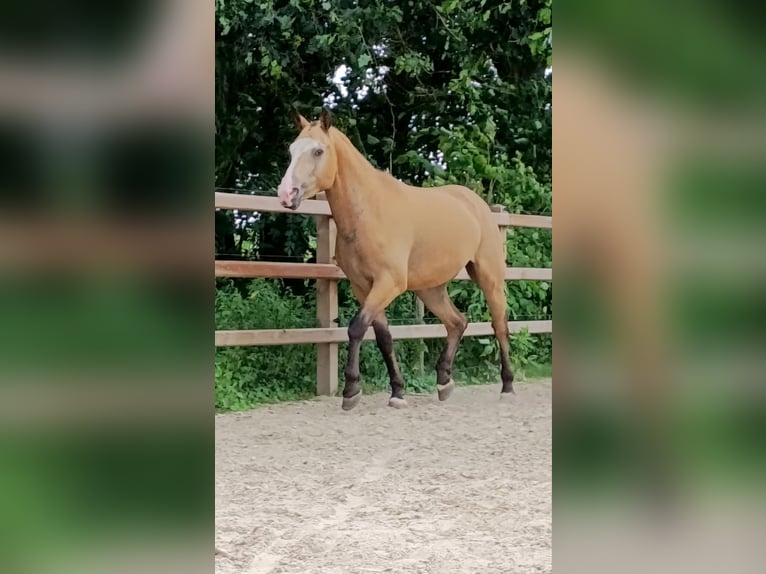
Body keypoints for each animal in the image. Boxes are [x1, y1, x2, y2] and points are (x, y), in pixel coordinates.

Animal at [277, 108, 514, 410]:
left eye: (318, 150)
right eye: (291, 150)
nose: (286, 194)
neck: (368, 211)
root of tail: (476, 203)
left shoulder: (388, 283)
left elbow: (356, 328)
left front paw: (350, 391)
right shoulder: (364, 286)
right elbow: (384, 337)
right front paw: (397, 392)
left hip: (489, 277)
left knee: (499, 325)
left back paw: (507, 386)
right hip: (430, 289)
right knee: (457, 322)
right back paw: (444, 383)